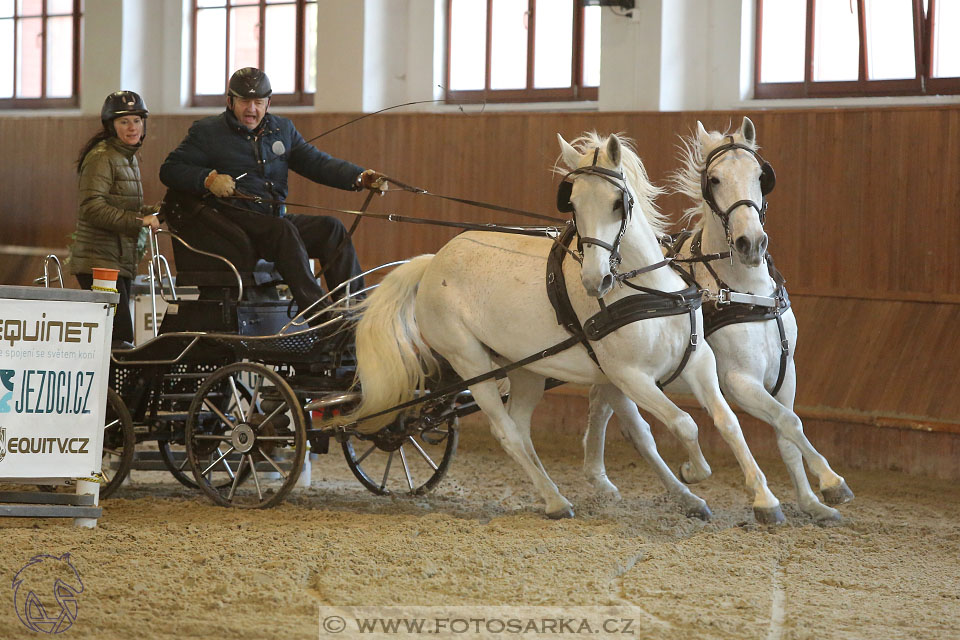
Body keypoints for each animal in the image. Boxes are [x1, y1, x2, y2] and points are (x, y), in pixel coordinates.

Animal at [338, 132, 788, 524]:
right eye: (571, 203)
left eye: (617, 203)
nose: (594, 280)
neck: (647, 289)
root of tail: (432, 262)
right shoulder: (628, 375)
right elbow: (682, 423)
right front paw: (694, 474)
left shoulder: (697, 362)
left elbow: (725, 421)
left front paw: (764, 500)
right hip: (469, 362)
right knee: (506, 432)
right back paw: (555, 501)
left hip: (526, 368)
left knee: (520, 427)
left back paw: (552, 493)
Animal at [580, 117, 852, 524]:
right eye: (715, 179)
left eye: (761, 176)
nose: (751, 243)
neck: (748, 291)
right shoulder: (739, 381)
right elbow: (782, 423)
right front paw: (824, 483)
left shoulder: (786, 373)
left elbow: (788, 432)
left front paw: (811, 501)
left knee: (602, 408)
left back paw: (601, 481)